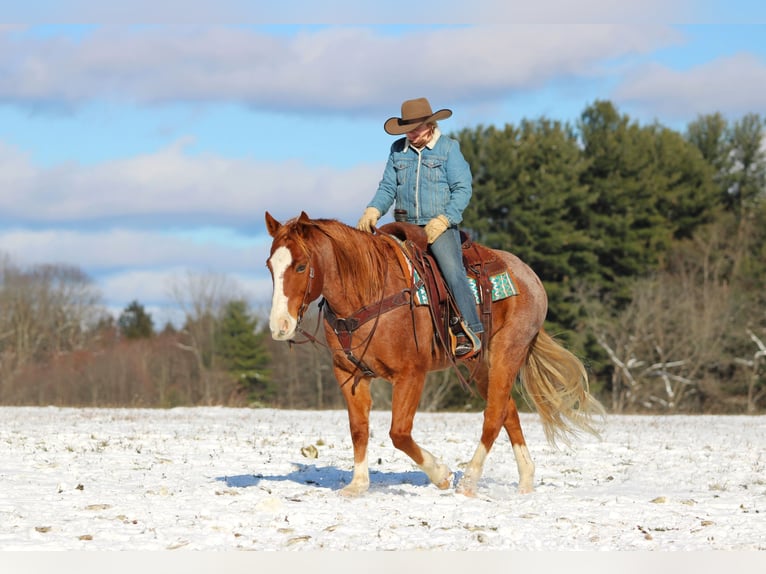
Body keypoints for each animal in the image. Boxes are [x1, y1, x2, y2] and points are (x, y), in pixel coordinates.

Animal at [265, 211, 604, 497]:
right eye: (270, 266)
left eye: (301, 265)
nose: (279, 325)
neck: (369, 291)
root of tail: (529, 276)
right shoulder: (349, 374)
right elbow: (359, 429)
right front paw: (357, 485)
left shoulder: (411, 375)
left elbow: (399, 432)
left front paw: (441, 474)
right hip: (481, 366)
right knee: (508, 411)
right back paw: (525, 480)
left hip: (507, 353)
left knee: (494, 415)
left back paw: (469, 481)